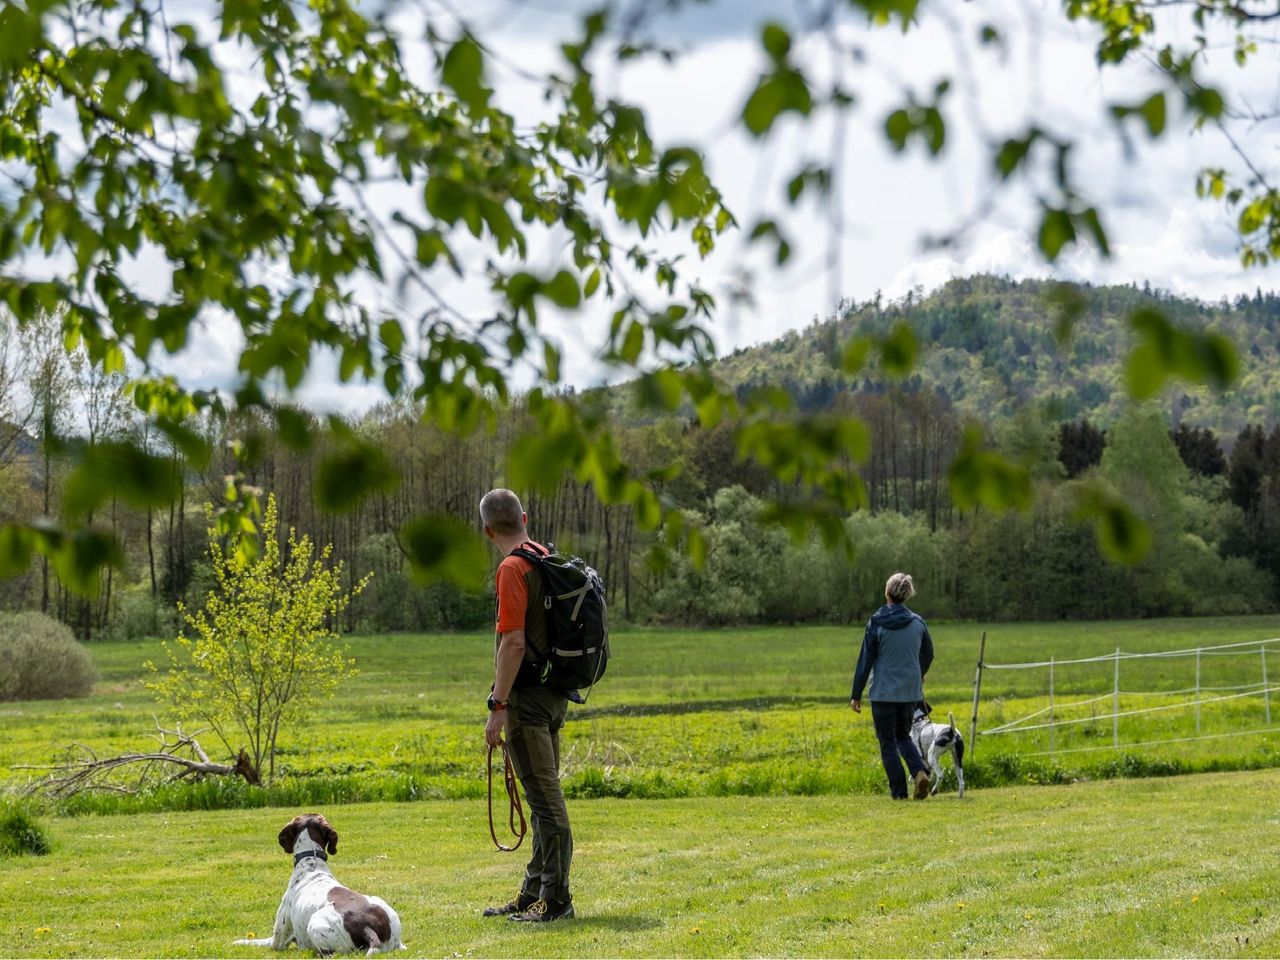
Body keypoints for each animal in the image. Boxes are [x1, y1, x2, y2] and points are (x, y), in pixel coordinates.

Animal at [234, 814, 404, 957]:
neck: (312, 863)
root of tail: (368, 929)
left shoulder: (277, 941)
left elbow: (257, 941)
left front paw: (239, 942)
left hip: (315, 923)